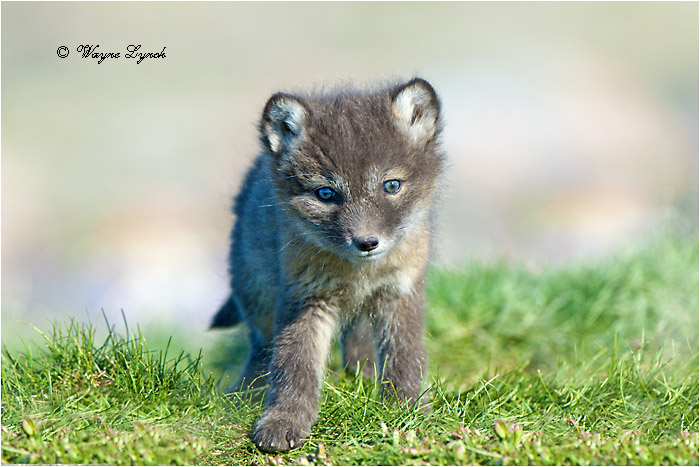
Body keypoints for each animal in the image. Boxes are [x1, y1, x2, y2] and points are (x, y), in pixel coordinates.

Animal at [211, 78, 446, 452]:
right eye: (325, 193)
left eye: (391, 185)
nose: (366, 242)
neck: (359, 273)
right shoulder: (304, 296)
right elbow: (295, 363)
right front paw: (284, 420)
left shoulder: (400, 290)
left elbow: (405, 355)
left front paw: (406, 410)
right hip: (256, 293)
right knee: (262, 348)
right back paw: (246, 392)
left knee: (358, 336)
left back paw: (361, 376)